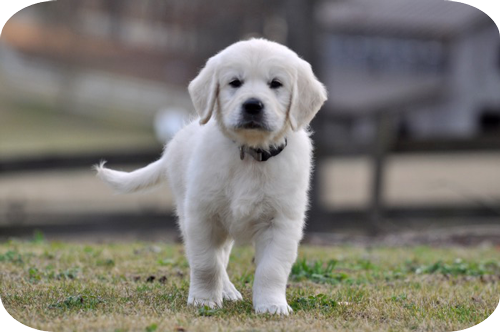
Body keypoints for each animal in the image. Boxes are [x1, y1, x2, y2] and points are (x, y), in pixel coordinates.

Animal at [96, 38, 328, 314]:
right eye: (234, 82)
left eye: (276, 84)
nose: (252, 105)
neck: (249, 154)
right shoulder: (202, 216)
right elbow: (206, 263)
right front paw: (204, 300)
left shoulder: (282, 221)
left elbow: (272, 269)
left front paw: (272, 305)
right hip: (190, 211)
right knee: (215, 259)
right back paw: (224, 290)